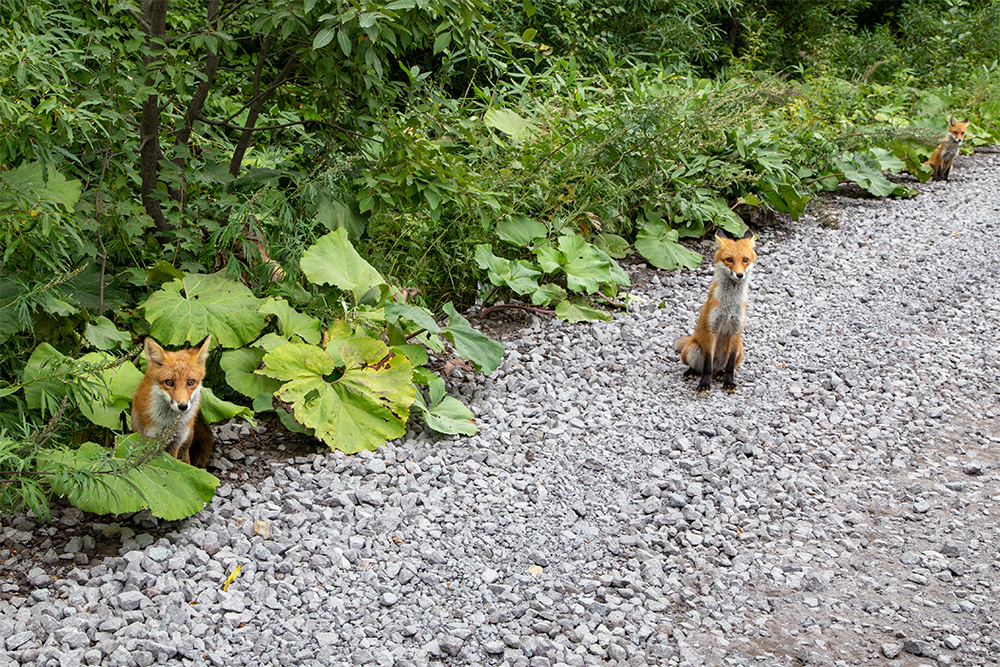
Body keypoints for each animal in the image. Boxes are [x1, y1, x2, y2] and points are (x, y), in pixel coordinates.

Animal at [676, 231, 752, 394]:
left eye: (745, 260)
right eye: (729, 259)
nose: (739, 275)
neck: (729, 304)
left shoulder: (736, 329)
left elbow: (730, 366)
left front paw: (729, 383)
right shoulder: (712, 328)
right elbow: (707, 365)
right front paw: (704, 384)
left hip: (740, 348)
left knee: (722, 368)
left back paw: (720, 374)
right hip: (692, 349)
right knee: (701, 367)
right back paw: (691, 371)